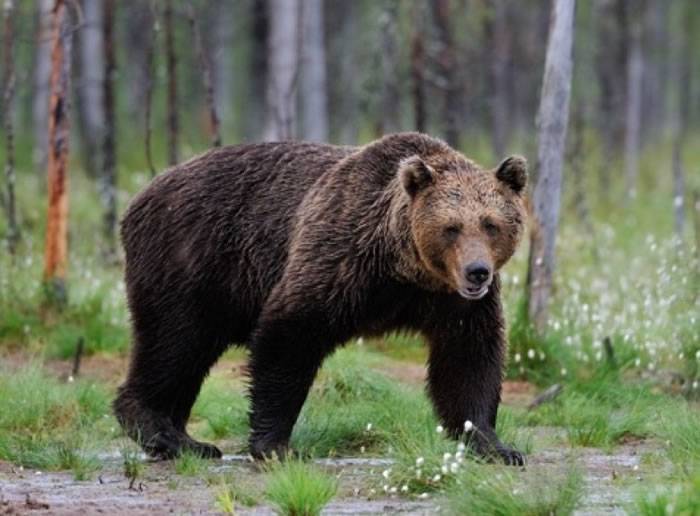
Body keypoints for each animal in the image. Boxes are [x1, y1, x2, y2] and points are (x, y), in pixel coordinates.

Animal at [115, 131, 528, 466]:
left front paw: (496, 446)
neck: (404, 270)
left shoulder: (452, 302)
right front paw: (276, 446)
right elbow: (290, 334)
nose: (477, 271)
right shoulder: (341, 258)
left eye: (491, 224)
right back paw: (165, 433)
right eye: (451, 227)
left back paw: (185, 438)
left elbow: (468, 359)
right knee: (175, 342)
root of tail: (141, 194)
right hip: (190, 261)